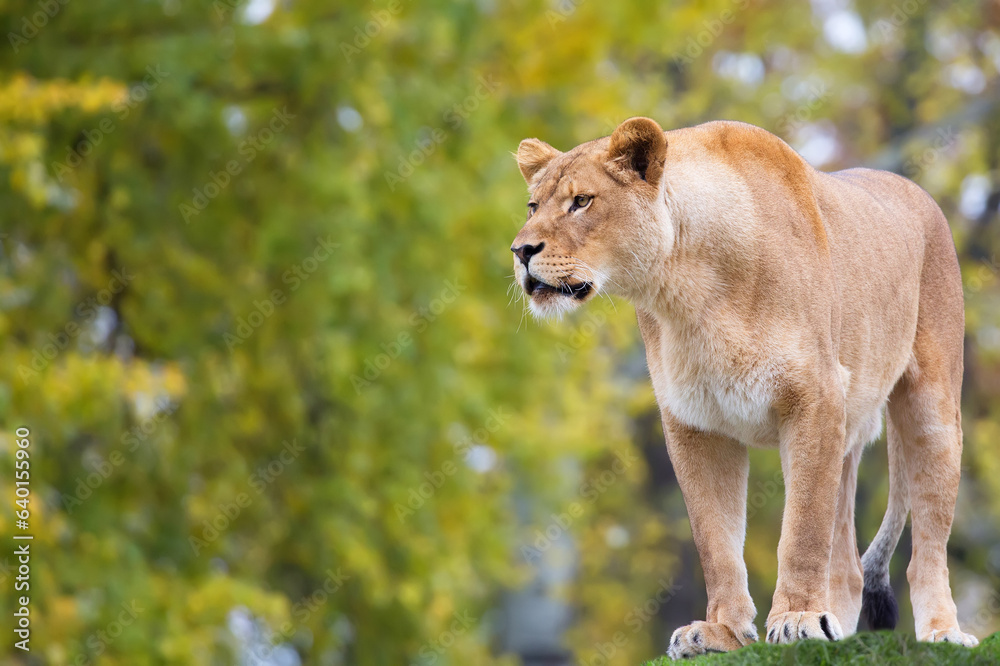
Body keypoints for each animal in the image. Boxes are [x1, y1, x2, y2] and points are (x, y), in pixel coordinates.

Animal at [510, 117, 978, 658]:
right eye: (532, 206)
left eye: (581, 201)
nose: (521, 251)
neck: (688, 291)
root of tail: (915, 189)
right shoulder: (694, 424)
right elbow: (715, 540)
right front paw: (721, 633)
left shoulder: (816, 399)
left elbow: (801, 530)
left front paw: (797, 619)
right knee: (848, 566)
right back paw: (838, 627)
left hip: (933, 411)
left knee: (927, 547)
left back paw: (941, 632)